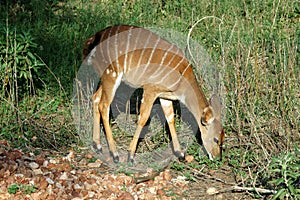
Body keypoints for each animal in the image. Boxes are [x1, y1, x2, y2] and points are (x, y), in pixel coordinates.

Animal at [83, 25, 224, 163]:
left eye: (223, 138)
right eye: (216, 139)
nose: (217, 158)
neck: (181, 80)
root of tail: (93, 39)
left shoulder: (164, 96)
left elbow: (170, 118)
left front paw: (180, 153)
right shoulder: (150, 89)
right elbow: (143, 118)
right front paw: (130, 155)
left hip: (105, 77)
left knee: (95, 98)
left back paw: (97, 145)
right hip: (111, 74)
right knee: (104, 105)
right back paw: (115, 153)